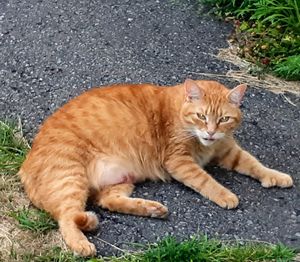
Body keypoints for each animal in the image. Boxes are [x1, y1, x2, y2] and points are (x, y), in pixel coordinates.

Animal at [18, 79, 292, 256]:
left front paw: (276, 177)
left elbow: (255, 164)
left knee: (108, 202)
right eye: (201, 116)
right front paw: (226, 195)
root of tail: (25, 165)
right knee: (66, 217)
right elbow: (207, 182)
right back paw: (82, 244)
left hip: (120, 181)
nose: (211, 133)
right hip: (71, 178)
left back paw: (152, 209)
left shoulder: (229, 151)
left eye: (224, 119)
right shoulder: (179, 162)